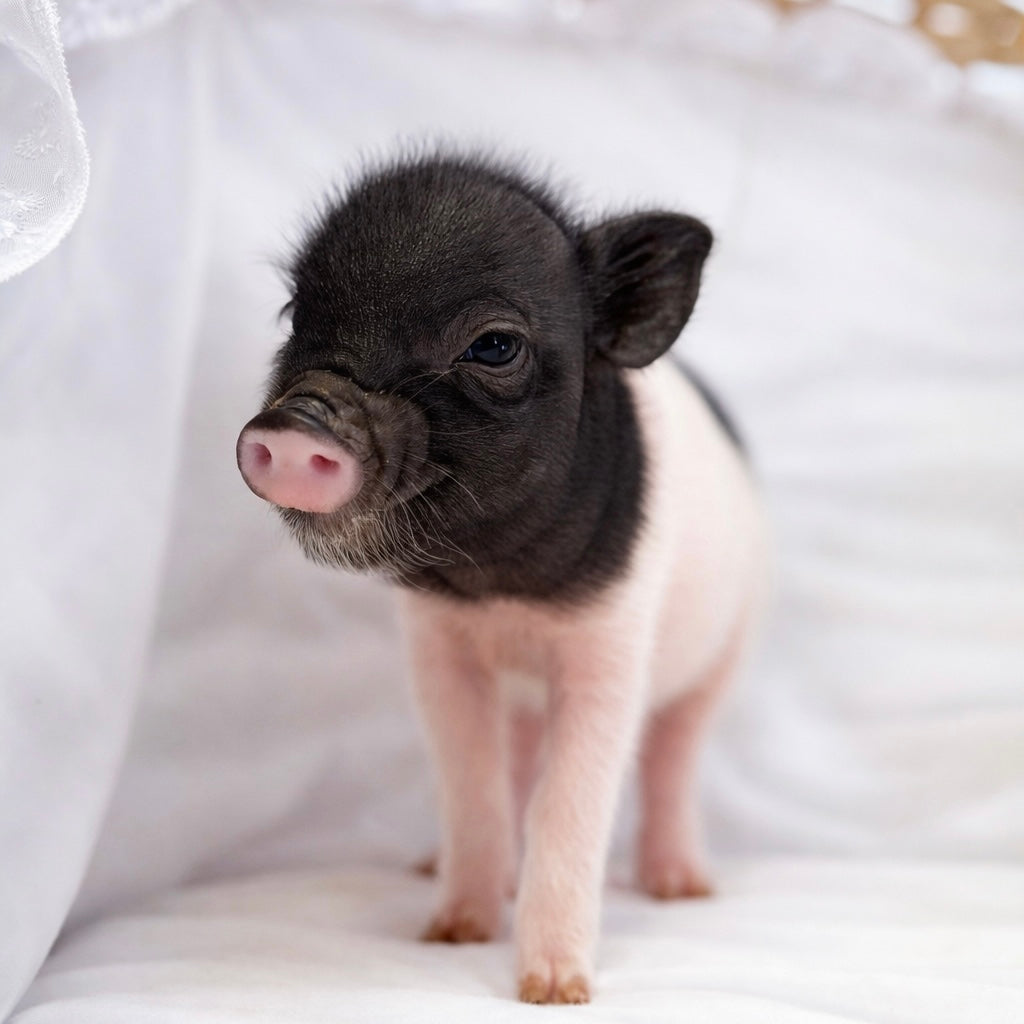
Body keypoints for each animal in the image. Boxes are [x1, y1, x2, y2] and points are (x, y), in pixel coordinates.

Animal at [236, 152, 766, 1004]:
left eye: (492, 346)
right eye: (294, 315)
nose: (294, 426)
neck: (500, 586)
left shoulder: (611, 648)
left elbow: (570, 803)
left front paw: (555, 991)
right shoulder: (439, 648)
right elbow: (472, 782)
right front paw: (451, 933)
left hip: (729, 649)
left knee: (675, 759)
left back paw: (682, 886)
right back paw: (439, 870)